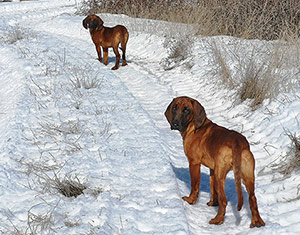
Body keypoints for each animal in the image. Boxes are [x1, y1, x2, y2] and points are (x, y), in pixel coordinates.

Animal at [164, 95, 264, 228]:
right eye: (174, 107)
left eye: (186, 110)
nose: (174, 124)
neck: (193, 127)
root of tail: (237, 142)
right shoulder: (212, 169)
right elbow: (213, 188)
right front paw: (213, 202)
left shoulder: (194, 163)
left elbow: (194, 185)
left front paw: (191, 200)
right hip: (247, 176)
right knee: (253, 198)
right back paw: (257, 222)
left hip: (220, 174)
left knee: (224, 200)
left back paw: (218, 220)